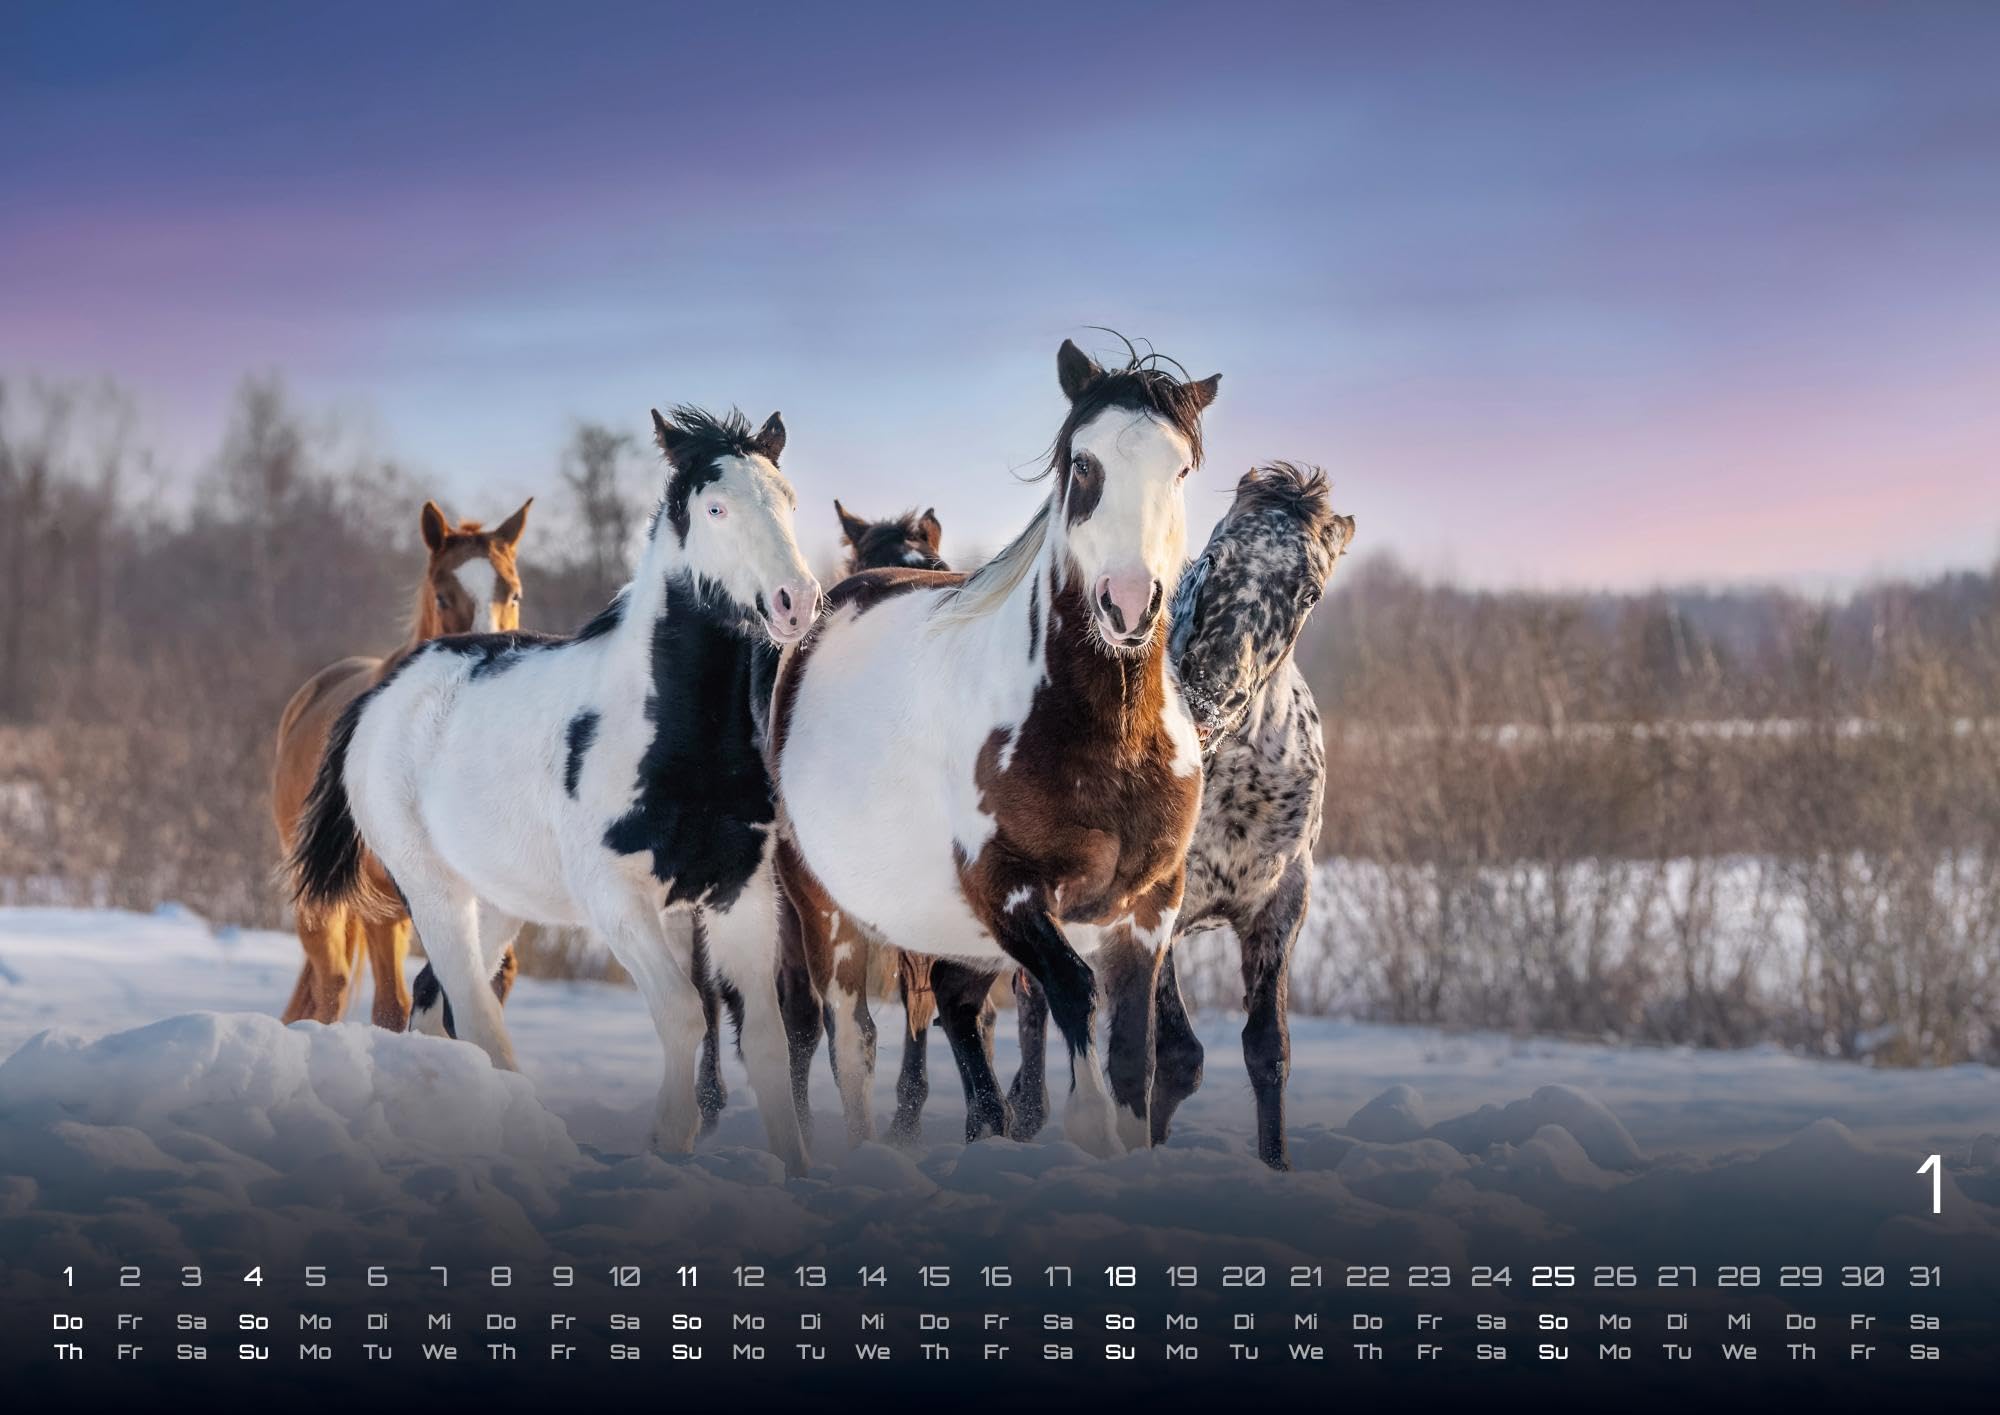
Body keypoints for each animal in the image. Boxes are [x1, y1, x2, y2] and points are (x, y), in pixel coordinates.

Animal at [270, 497, 531, 1029]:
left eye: (512, 593)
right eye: (442, 596)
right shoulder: (385, 907)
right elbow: (396, 1004)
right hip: (330, 908)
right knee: (333, 988)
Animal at [771, 337, 1220, 1156]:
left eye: (1179, 469)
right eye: (1083, 463)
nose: (1128, 602)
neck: (1105, 737)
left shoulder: (1149, 907)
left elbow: (1131, 1049)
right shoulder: (1006, 890)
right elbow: (1071, 994)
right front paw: (1082, 1128)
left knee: (946, 1002)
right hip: (825, 906)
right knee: (844, 1033)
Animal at [939, 463, 1354, 1167]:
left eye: (1308, 594)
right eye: (1213, 556)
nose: (1207, 696)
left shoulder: (1278, 907)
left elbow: (1267, 1052)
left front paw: (1275, 1167)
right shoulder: (1151, 909)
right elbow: (1177, 1056)